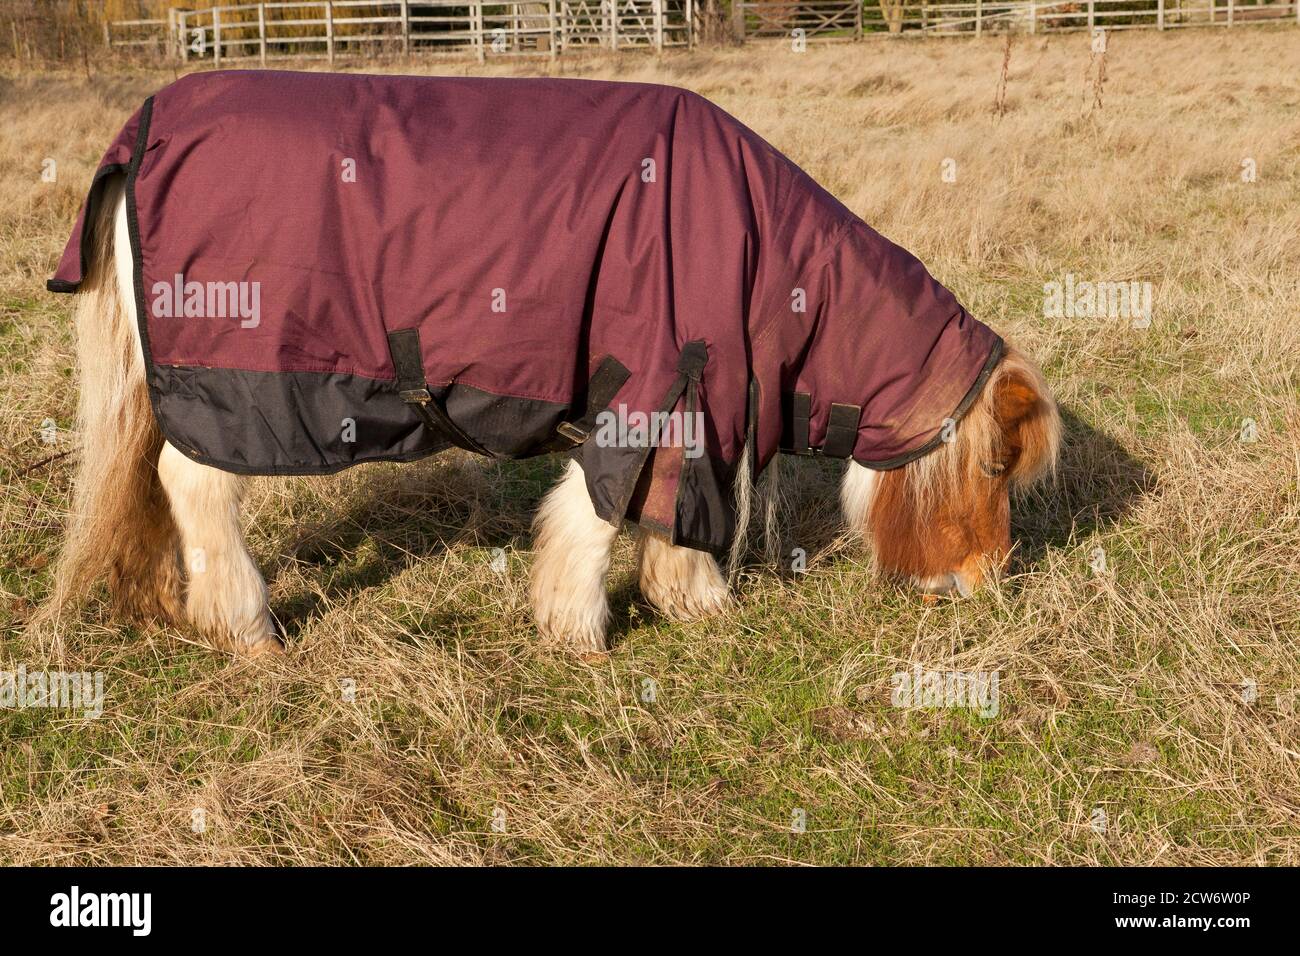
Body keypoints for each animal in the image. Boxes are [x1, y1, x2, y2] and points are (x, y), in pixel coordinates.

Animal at [40, 175, 1060, 658]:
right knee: (192, 483)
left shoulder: (681, 406)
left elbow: (667, 514)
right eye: (994, 467)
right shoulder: (653, 390)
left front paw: (685, 600)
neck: (762, 252)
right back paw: (247, 628)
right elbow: (600, 514)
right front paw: (584, 626)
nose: (990, 584)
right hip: (232, 387)